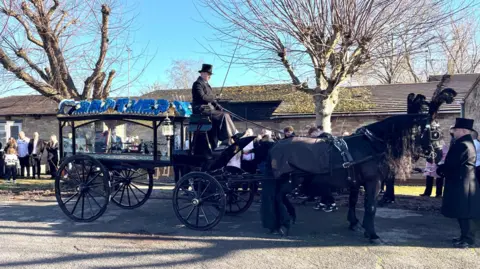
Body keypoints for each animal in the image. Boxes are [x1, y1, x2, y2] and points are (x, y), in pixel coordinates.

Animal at [260, 89, 456, 242]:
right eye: (435, 133)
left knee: (278, 196)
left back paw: (284, 219)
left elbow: (354, 201)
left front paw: (354, 223)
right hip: (293, 180)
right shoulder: (373, 182)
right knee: (279, 196)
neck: (373, 144)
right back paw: (285, 222)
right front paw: (372, 234)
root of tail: (276, 146)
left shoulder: (355, 181)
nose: (440, 155)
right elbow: (371, 206)